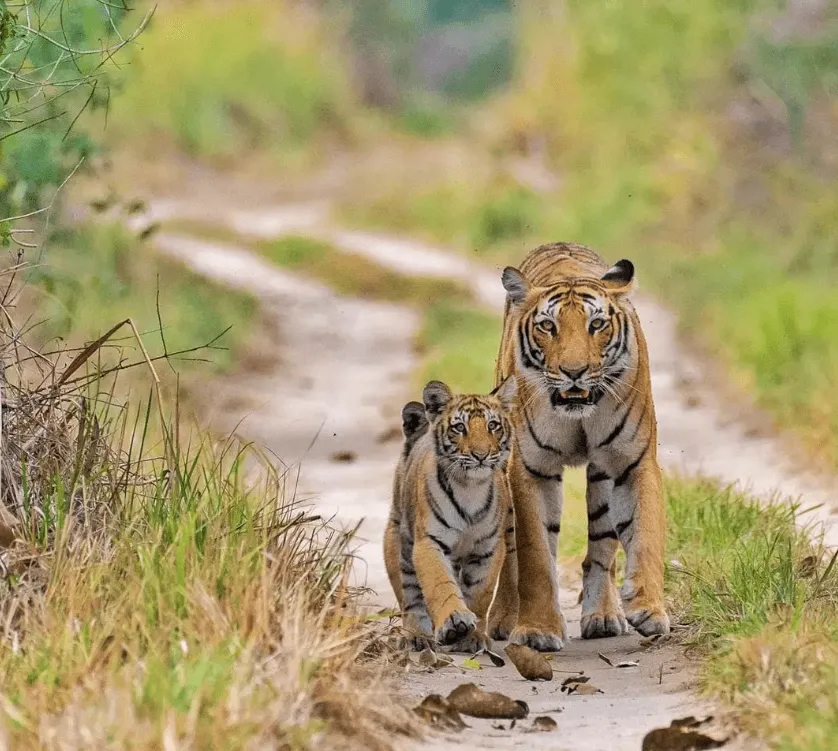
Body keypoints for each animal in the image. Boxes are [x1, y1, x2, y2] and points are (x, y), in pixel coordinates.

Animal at [496, 242, 672, 652]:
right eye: (548, 326)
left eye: (596, 325)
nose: (574, 372)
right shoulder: (530, 468)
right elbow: (535, 555)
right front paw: (537, 630)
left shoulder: (634, 461)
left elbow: (646, 535)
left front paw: (648, 609)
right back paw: (502, 620)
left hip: (603, 477)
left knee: (602, 547)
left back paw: (604, 615)